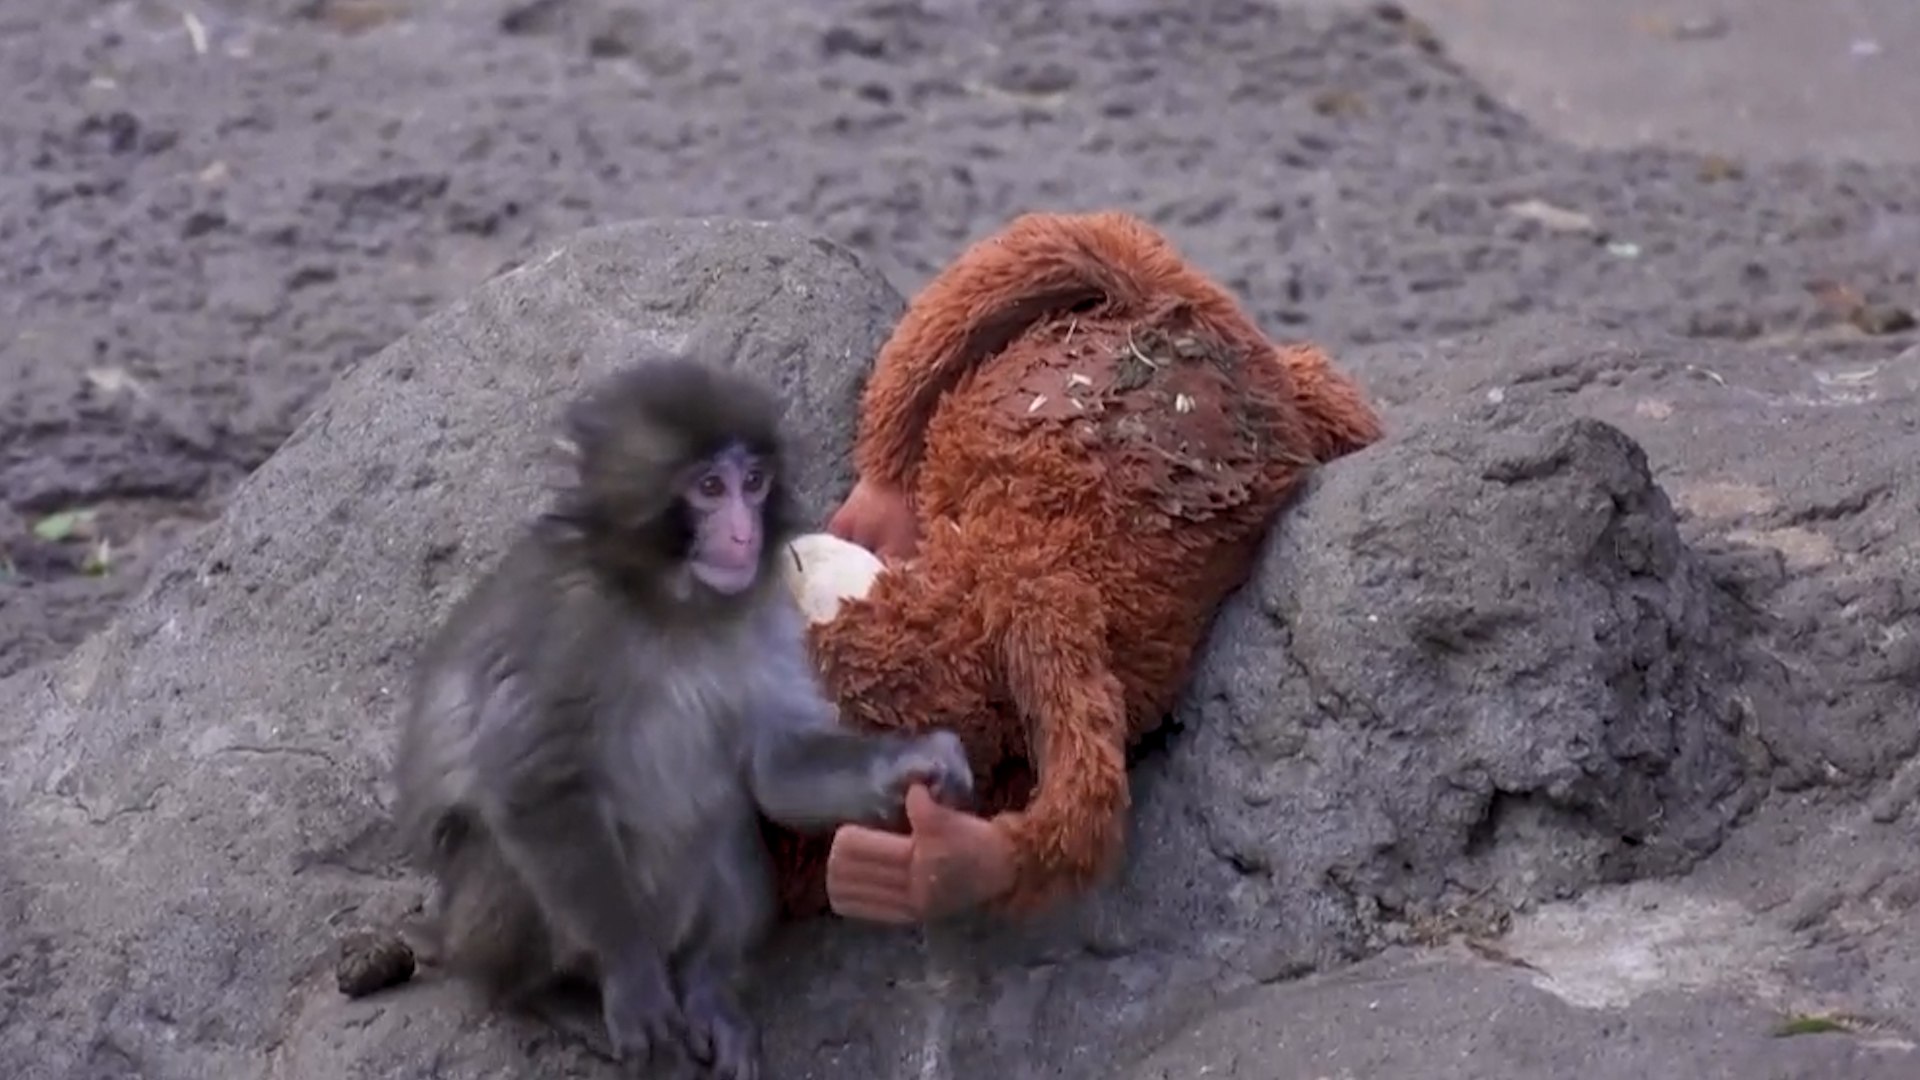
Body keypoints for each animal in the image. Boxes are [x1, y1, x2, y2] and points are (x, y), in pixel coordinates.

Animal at [382, 355, 975, 1079]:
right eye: (710, 488)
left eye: (754, 482)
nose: (745, 534)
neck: (673, 609)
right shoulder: (566, 630)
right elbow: (535, 785)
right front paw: (630, 975)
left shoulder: (766, 611)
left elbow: (778, 769)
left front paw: (917, 759)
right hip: (486, 924)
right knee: (505, 863)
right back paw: (543, 996)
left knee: (725, 834)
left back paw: (707, 983)